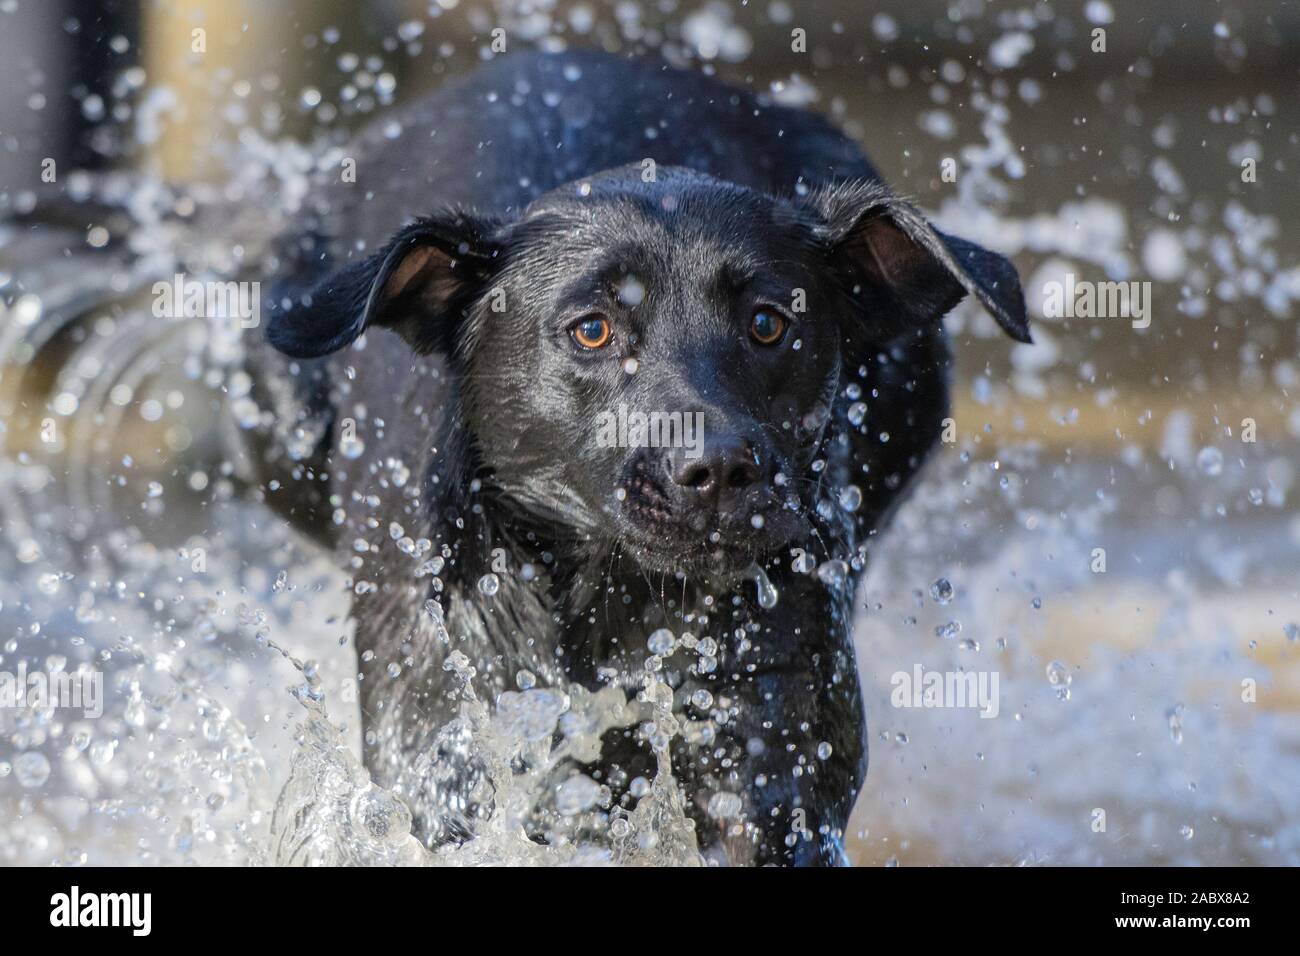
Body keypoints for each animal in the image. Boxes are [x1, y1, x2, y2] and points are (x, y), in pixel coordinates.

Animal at [245, 48, 1024, 863]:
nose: (718, 470)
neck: (616, 605)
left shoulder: (769, 761)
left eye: (769, 323)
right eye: (593, 329)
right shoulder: (448, 761)